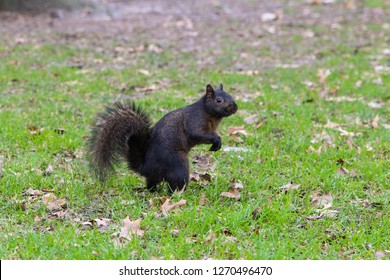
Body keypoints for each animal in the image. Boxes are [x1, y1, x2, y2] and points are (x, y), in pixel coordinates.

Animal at [87, 84, 238, 191]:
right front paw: (216, 141)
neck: (208, 112)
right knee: (175, 184)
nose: (235, 107)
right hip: (178, 163)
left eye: (231, 95)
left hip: (156, 176)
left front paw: (218, 142)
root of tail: (145, 167)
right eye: (219, 100)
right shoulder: (195, 121)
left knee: (151, 184)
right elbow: (198, 134)